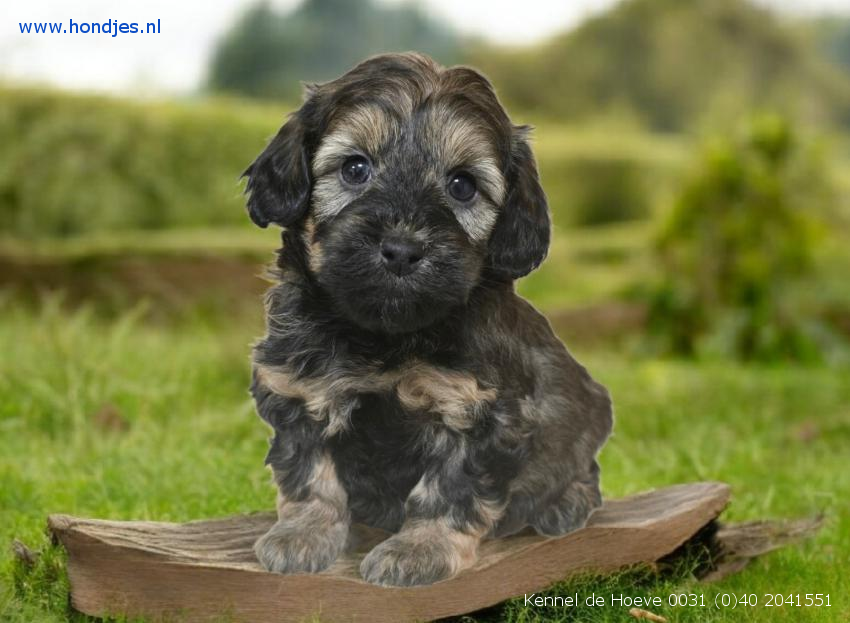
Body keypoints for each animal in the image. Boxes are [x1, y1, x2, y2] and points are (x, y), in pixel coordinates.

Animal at [245, 53, 613, 587]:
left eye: (462, 185)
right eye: (355, 168)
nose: (402, 248)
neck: (383, 337)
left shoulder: (481, 412)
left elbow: (449, 488)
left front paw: (420, 550)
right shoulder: (298, 389)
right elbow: (310, 472)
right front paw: (303, 535)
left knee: (584, 469)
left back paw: (566, 503)